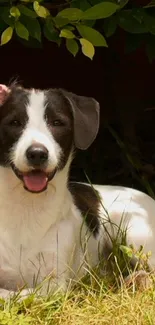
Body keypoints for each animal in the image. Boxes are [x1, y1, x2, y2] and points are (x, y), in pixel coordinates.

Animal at [0, 83, 154, 298]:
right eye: (15, 122)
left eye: (57, 122)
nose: (37, 153)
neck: (27, 209)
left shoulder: (55, 284)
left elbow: (19, 294)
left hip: (135, 232)